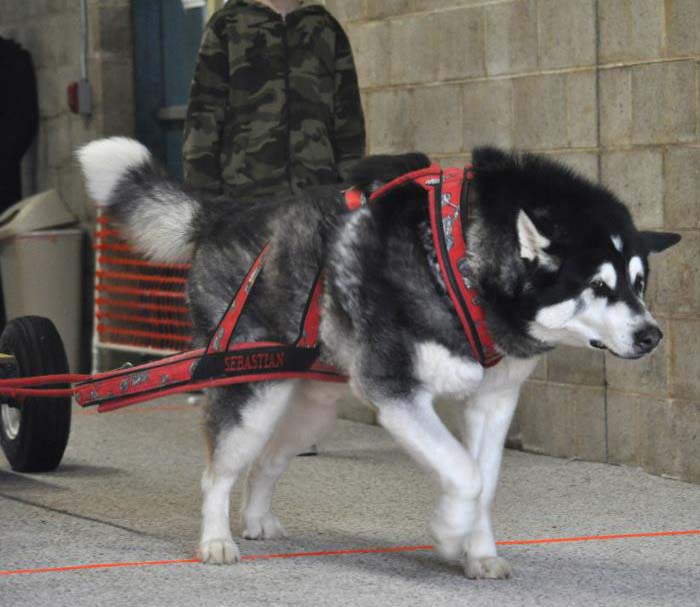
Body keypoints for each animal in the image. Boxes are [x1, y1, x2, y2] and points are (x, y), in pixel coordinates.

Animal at [76, 138, 680, 580]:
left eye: (639, 283)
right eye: (598, 286)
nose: (651, 335)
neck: (461, 260)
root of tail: (224, 210)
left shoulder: (494, 400)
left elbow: (485, 481)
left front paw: (478, 553)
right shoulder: (395, 391)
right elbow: (463, 475)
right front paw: (447, 534)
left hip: (312, 406)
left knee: (268, 460)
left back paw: (257, 518)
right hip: (254, 392)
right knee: (218, 470)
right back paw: (217, 539)